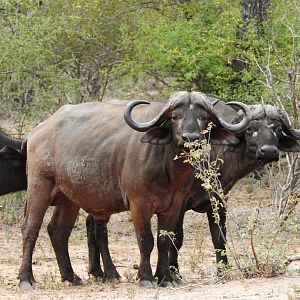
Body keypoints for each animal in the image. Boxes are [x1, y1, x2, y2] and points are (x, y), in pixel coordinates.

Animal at [17, 91, 250, 288]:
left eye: (203, 117)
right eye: (175, 116)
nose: (190, 137)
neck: (167, 168)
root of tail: (38, 131)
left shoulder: (174, 207)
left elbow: (165, 240)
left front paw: (165, 278)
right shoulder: (139, 204)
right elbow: (145, 240)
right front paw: (146, 278)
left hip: (69, 198)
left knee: (58, 231)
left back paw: (71, 277)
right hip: (39, 186)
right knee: (31, 228)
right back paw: (26, 279)